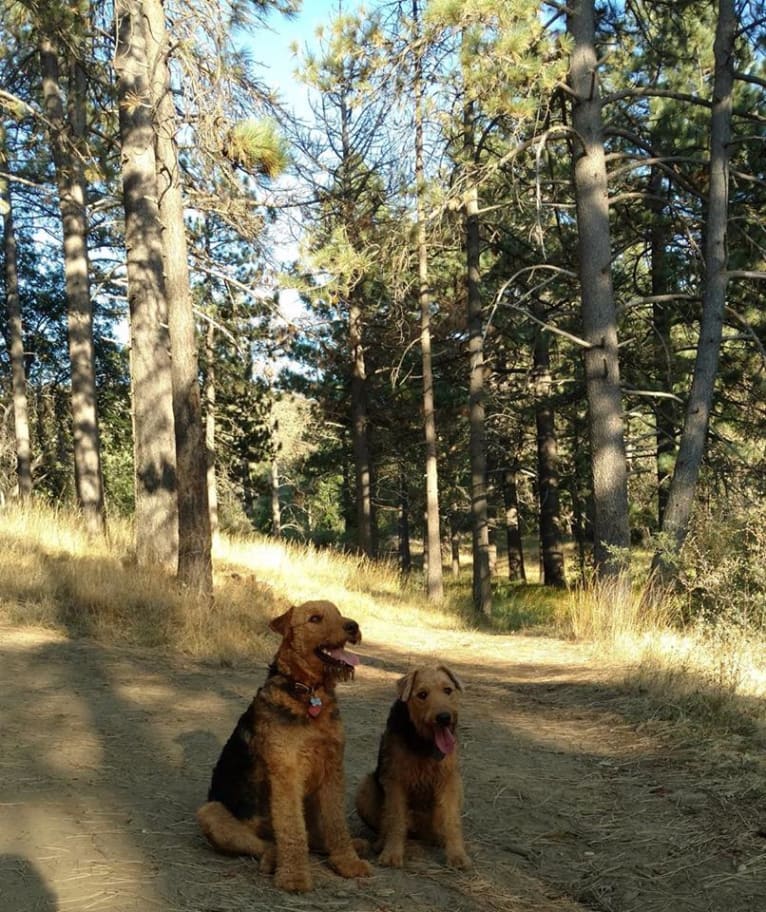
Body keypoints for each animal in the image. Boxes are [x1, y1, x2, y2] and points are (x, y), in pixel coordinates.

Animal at [196, 600, 374, 892]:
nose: (353, 626)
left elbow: (336, 823)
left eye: (338, 613)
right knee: (266, 844)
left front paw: (348, 862)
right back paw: (274, 860)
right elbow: (292, 830)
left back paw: (355, 845)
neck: (308, 692)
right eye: (315, 618)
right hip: (212, 812)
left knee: (311, 837)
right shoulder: (287, 771)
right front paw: (294, 877)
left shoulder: (333, 768)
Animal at [356, 664, 472, 868]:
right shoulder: (395, 779)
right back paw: (381, 843)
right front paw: (392, 854)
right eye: (422, 694)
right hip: (366, 785)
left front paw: (458, 855)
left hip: (458, 787)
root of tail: (418, 829)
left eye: (448, 690)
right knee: (386, 824)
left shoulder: (448, 779)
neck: (423, 742)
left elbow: (452, 821)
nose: (444, 717)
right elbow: (395, 819)